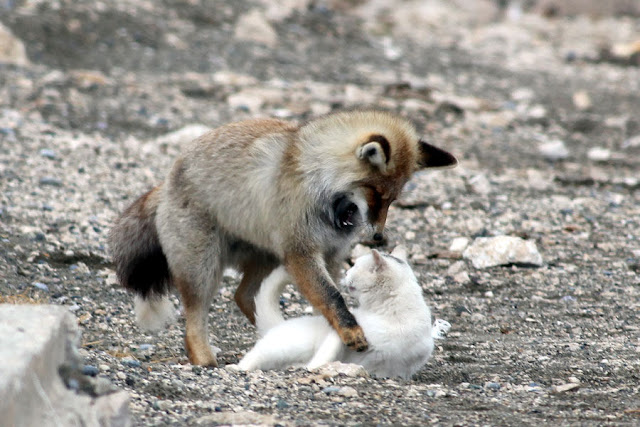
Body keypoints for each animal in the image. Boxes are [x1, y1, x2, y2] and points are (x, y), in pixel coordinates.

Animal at [111, 110, 460, 368]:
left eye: (392, 200)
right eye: (375, 193)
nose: (378, 237)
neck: (324, 193)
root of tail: (167, 180)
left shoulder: (330, 255)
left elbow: (328, 300)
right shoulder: (301, 251)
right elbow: (332, 297)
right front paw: (348, 331)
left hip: (268, 258)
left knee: (244, 295)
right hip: (203, 269)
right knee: (195, 320)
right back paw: (205, 359)